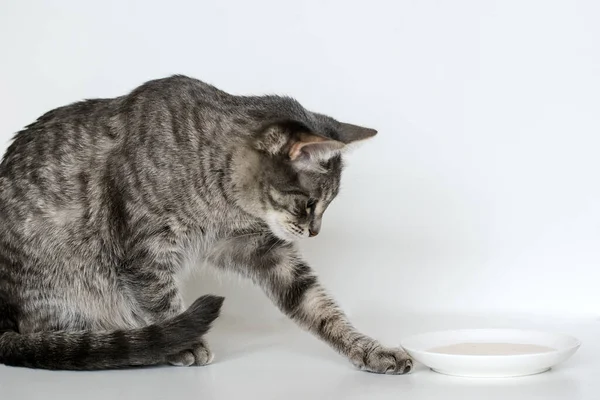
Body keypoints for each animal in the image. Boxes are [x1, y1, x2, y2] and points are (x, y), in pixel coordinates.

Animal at [0, 76, 412, 376]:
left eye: (327, 206)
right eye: (309, 204)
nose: (315, 232)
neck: (223, 201)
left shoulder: (256, 247)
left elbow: (317, 305)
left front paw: (368, 348)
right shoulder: (144, 250)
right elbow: (159, 297)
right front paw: (184, 342)